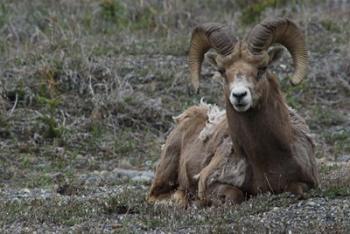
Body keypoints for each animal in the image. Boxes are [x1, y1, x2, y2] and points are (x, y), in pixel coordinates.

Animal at [148, 16, 320, 207]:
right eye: (222, 71)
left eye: (262, 68)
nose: (239, 95)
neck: (266, 159)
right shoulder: (209, 182)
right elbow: (234, 195)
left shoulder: (307, 183)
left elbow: (296, 189)